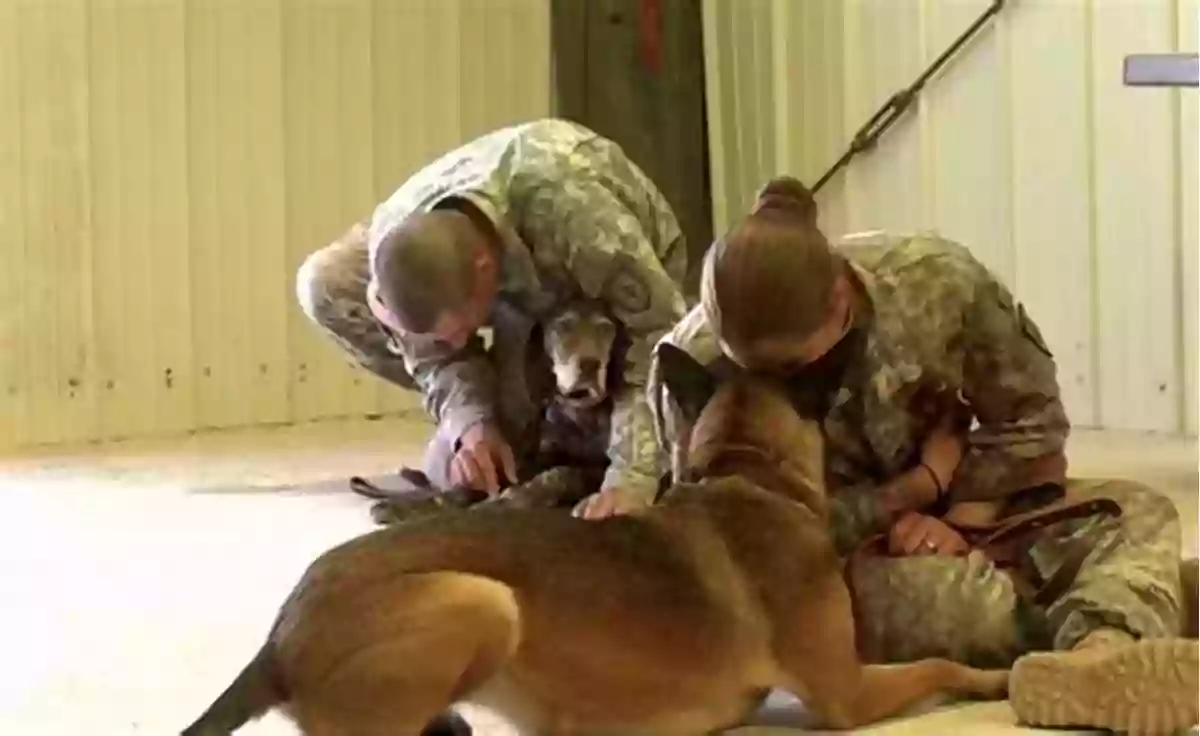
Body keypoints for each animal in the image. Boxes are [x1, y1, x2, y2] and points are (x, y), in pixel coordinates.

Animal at [182, 343, 1008, 734]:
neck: (746, 473)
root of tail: (280, 637)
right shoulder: (846, 693)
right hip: (483, 600)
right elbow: (939, 663)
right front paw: (996, 677)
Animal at [355, 298, 624, 523]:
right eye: (563, 326)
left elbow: (560, 474)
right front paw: (411, 506)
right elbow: (468, 487)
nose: (590, 365)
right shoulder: (529, 458)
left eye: (606, 328)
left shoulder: (596, 468)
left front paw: (507, 500)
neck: (578, 414)